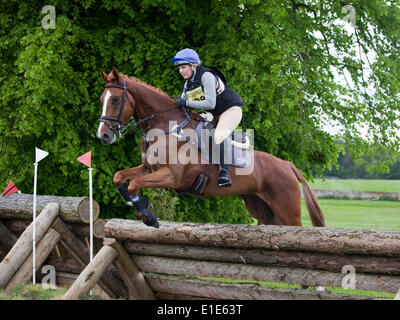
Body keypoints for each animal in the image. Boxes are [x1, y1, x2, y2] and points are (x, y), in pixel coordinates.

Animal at [97, 67, 324, 228]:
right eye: (102, 100)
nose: (103, 135)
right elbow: (119, 177)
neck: (165, 127)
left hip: (287, 209)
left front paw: (148, 215)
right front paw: (139, 207)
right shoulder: (148, 168)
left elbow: (134, 184)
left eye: (115, 99)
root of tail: (287, 165)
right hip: (263, 210)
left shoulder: (171, 176)